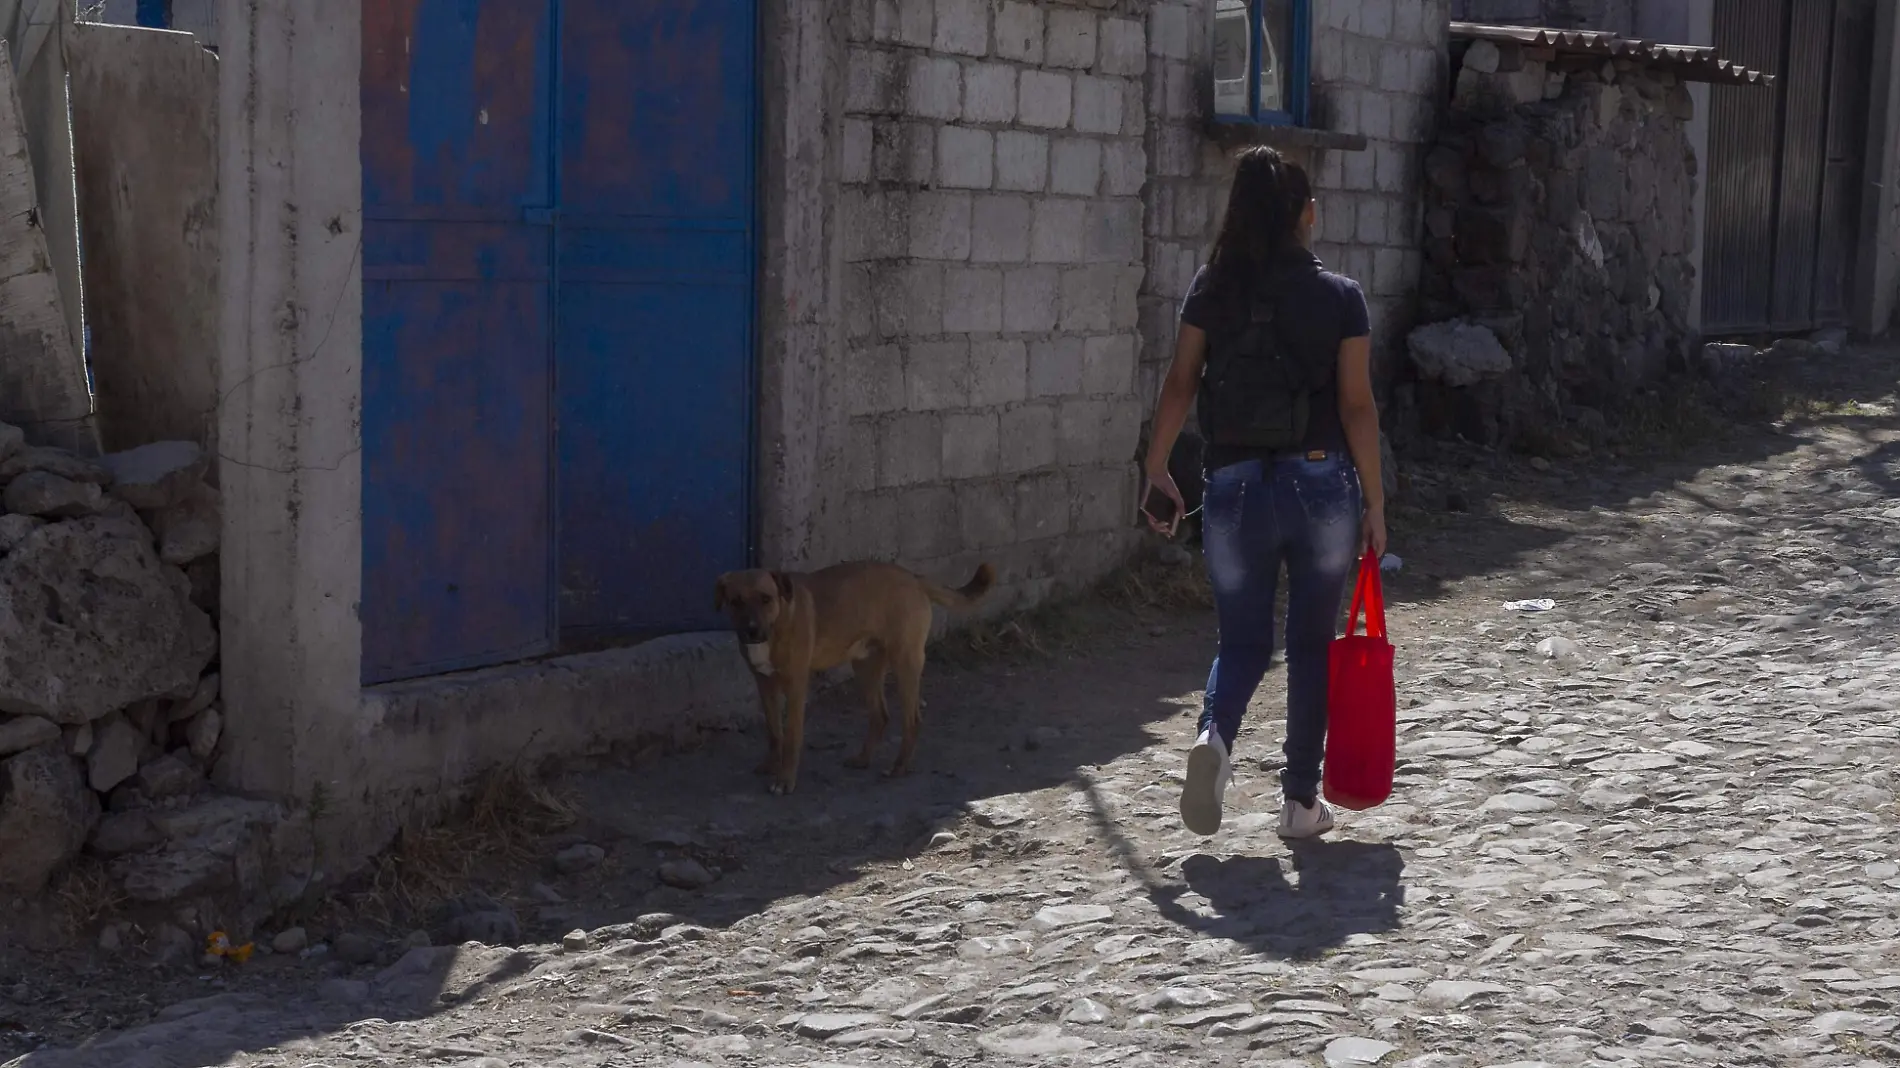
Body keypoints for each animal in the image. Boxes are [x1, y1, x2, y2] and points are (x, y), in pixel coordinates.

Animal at [714, 558, 1003, 790]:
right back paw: (863, 759)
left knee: (912, 720)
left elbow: (792, 735)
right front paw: (771, 765)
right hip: (866, 669)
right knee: (880, 716)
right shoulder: (764, 684)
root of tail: (913, 577)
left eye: (766, 599)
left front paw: (785, 780)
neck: (778, 621)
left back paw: (898, 767)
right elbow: (774, 731)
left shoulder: (795, 685)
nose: (751, 630)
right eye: (735, 602)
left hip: (905, 663)